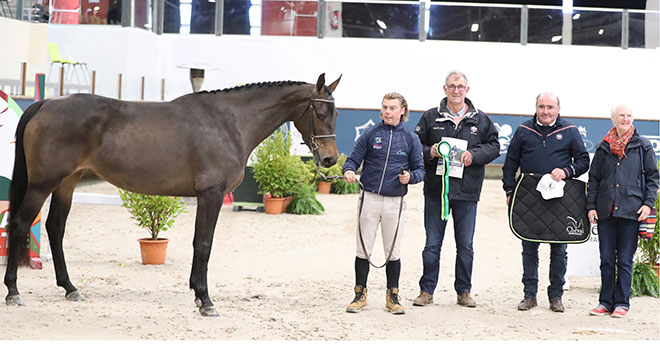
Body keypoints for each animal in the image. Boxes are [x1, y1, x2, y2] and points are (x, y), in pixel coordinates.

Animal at [1, 74, 340, 316]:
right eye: (320, 112)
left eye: (336, 113)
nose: (329, 159)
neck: (228, 122)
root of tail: (46, 103)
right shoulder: (211, 194)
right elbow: (204, 244)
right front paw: (205, 300)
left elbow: (199, 244)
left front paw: (197, 294)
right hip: (42, 185)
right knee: (18, 226)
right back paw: (13, 293)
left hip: (67, 183)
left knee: (55, 228)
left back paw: (70, 288)